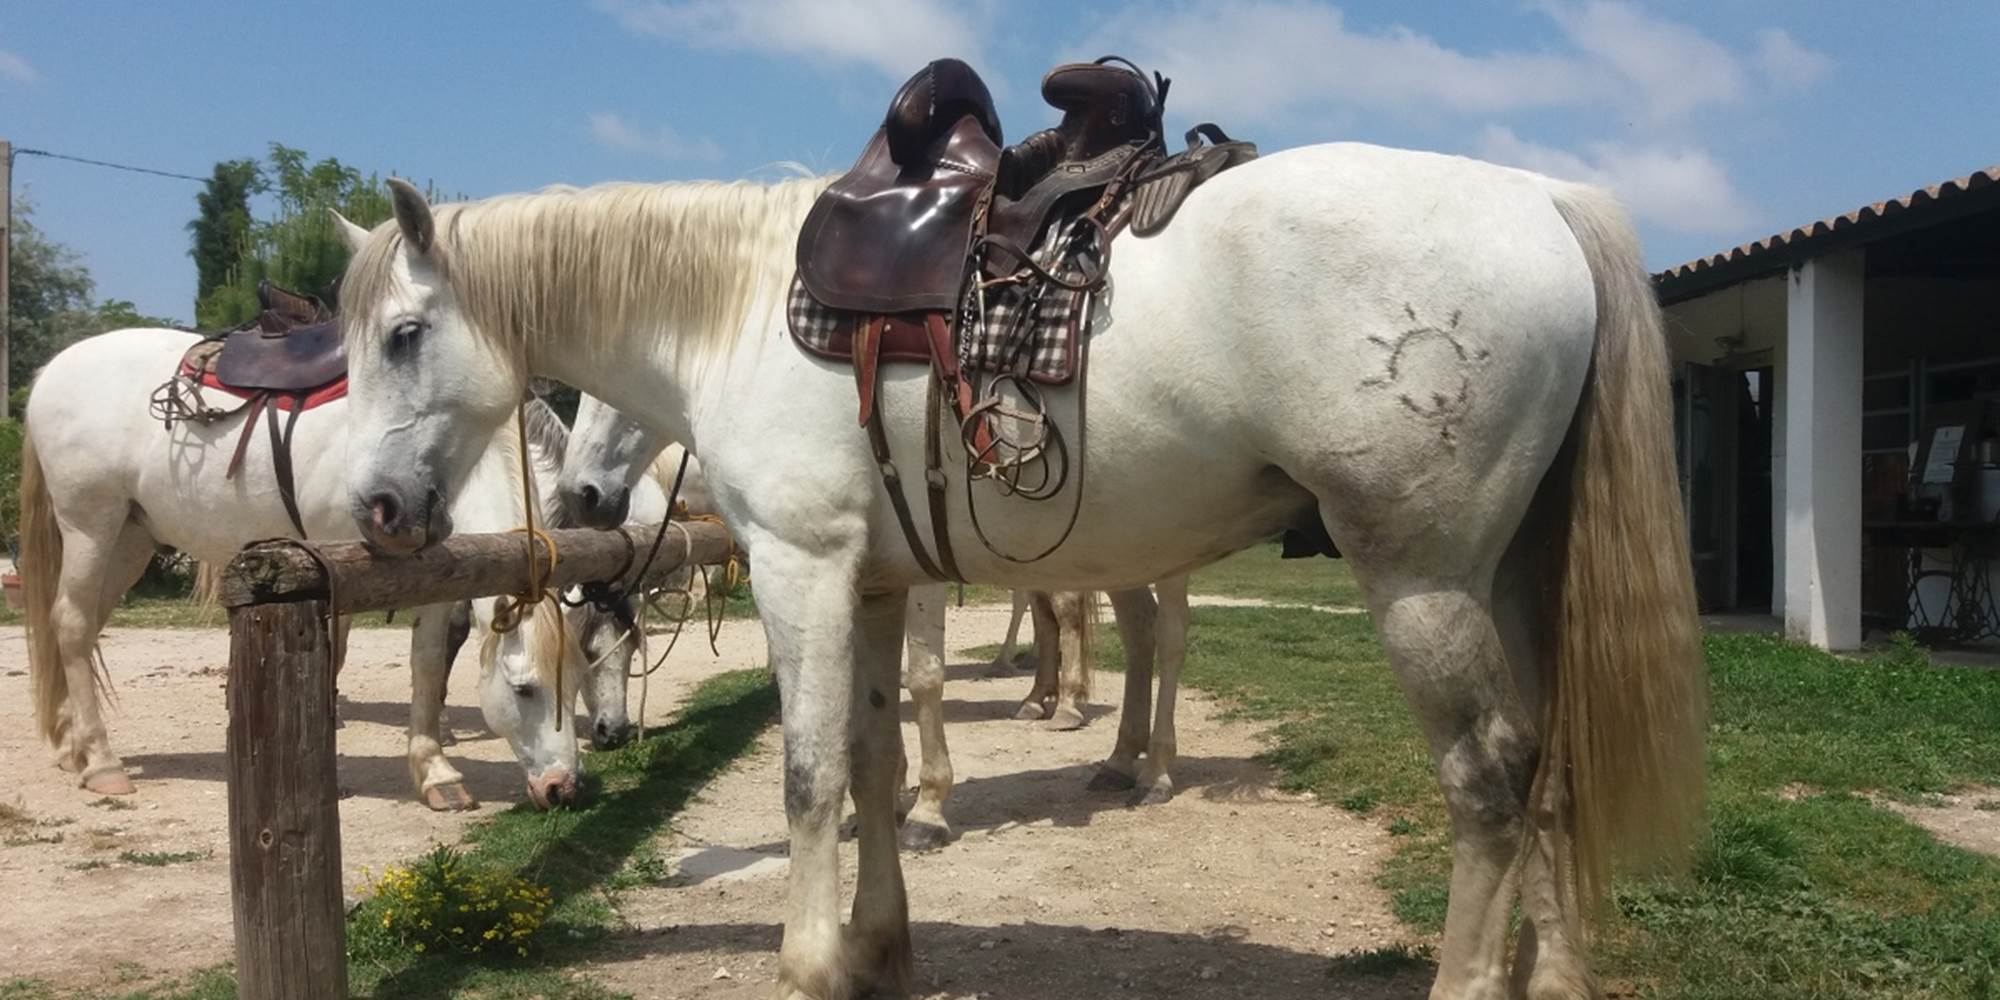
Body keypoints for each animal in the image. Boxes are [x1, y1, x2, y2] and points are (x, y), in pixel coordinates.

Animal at [18, 327, 640, 810]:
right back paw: (102, 763)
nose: (564, 788)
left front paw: (435, 773)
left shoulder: (443, 576)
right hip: (90, 527)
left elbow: (427, 665)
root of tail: (52, 371)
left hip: (129, 540)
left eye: (579, 676)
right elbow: (335, 658)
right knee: (72, 623)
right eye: (524, 689)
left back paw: (74, 746)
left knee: (80, 630)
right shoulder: (335, 563)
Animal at [331, 143, 1704, 1000]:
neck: (738, 308)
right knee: (1549, 766)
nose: (378, 508)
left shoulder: (802, 572)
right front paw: (878, 947)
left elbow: (809, 773)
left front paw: (809, 962)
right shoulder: (878, 584)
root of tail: (1539, 196)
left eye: (403, 335)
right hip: (1516, 577)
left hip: (1420, 579)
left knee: (1487, 782)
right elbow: (872, 759)